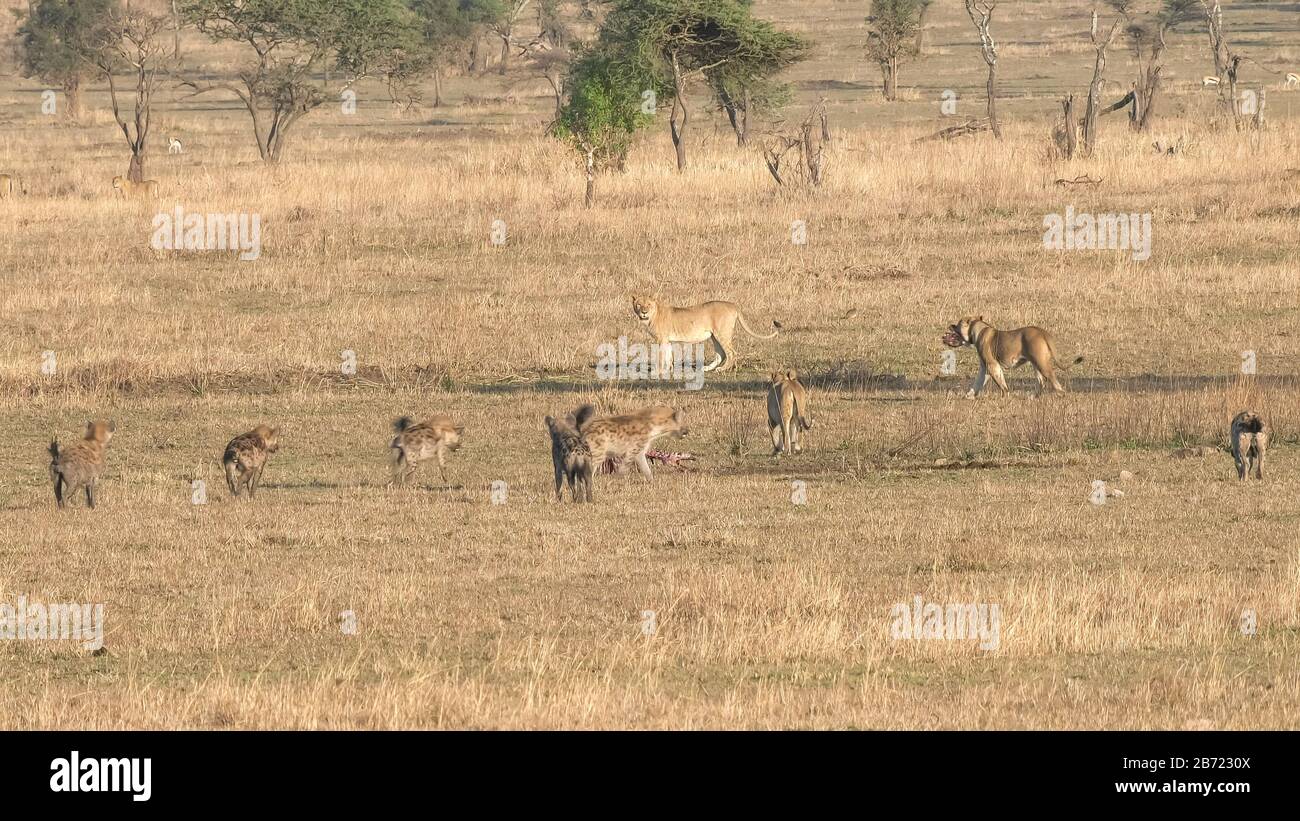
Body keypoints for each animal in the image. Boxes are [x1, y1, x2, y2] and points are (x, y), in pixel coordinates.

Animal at [632, 295, 779, 373]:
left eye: (648, 304)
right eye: (638, 304)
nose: (644, 312)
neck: (651, 317)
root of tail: (733, 305)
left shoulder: (661, 339)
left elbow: (661, 357)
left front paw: (658, 371)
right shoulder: (667, 340)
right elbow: (668, 356)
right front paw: (669, 369)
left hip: (721, 333)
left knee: (731, 353)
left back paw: (722, 369)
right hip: (714, 336)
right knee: (721, 354)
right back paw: (707, 368)